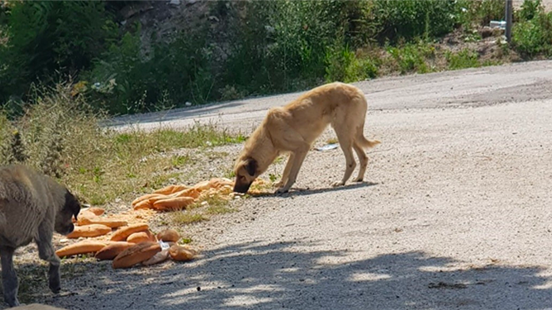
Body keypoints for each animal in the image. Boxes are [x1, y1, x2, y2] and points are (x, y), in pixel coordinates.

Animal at [233, 82, 380, 194]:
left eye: (242, 176)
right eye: (236, 176)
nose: (234, 191)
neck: (269, 135)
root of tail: (358, 91)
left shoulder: (302, 148)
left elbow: (292, 173)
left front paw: (285, 189)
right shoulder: (294, 153)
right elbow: (286, 170)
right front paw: (281, 183)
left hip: (342, 135)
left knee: (351, 162)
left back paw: (342, 182)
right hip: (349, 135)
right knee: (363, 157)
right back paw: (359, 178)